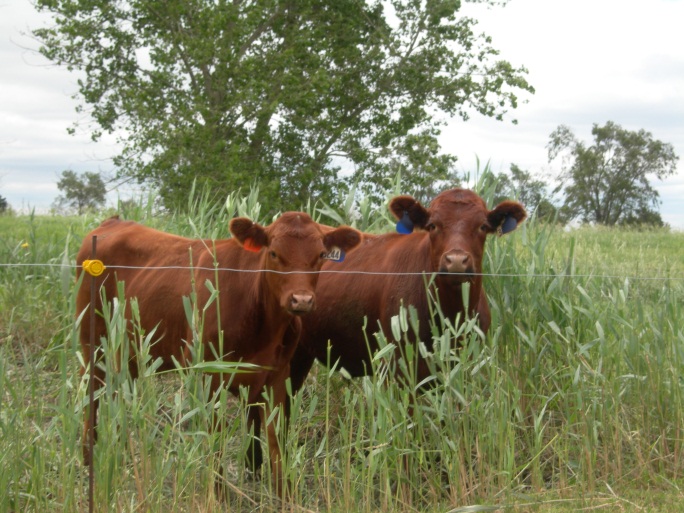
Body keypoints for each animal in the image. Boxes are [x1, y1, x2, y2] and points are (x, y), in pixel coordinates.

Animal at [76, 211, 364, 492]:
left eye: (320, 255)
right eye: (273, 253)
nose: (301, 300)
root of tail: (113, 222)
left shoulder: (278, 374)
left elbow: (275, 437)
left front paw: (285, 493)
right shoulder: (207, 374)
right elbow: (214, 436)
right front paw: (219, 492)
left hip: (131, 350)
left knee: (120, 392)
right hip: (92, 341)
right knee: (92, 392)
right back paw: (88, 457)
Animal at [247, 187, 528, 468]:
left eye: (482, 226)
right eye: (433, 225)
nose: (456, 261)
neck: (449, 314)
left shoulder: (462, 367)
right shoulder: (400, 367)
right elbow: (408, 429)